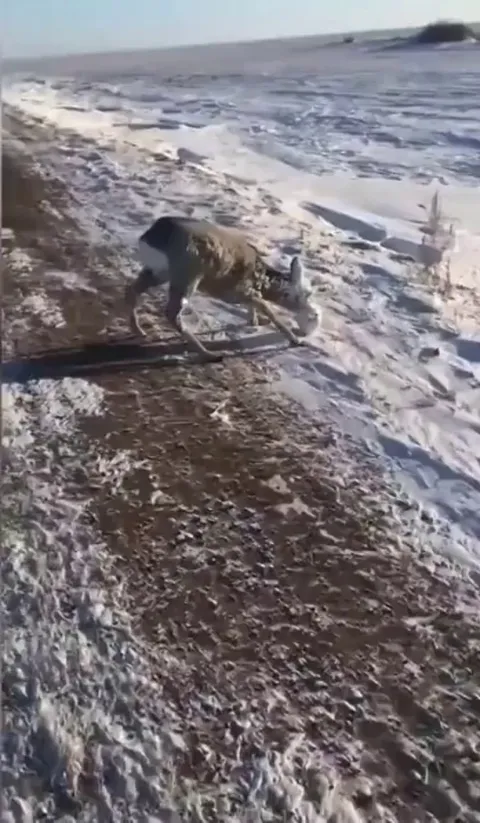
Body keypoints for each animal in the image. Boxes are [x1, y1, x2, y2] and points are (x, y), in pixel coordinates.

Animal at [124, 215, 318, 362]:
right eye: (306, 294)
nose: (313, 313)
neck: (261, 280)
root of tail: (152, 235)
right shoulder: (241, 291)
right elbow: (269, 311)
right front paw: (295, 340)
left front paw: (255, 321)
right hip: (188, 276)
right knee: (171, 312)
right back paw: (209, 354)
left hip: (159, 272)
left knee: (132, 289)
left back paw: (138, 331)